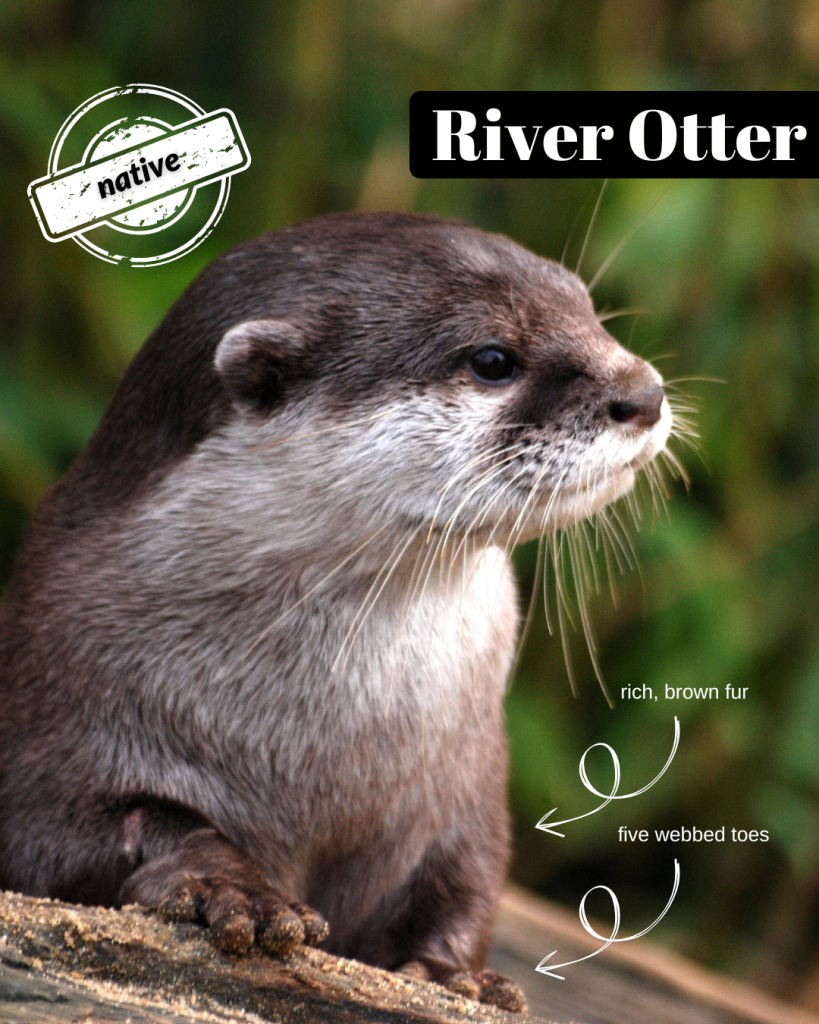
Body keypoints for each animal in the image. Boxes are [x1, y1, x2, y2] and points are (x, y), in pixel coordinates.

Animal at [0, 211, 670, 1012]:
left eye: (587, 310)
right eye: (492, 359)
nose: (644, 392)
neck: (322, 754)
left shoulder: (467, 783)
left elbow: (468, 880)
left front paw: (451, 974)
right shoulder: (53, 699)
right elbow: (100, 831)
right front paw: (233, 888)